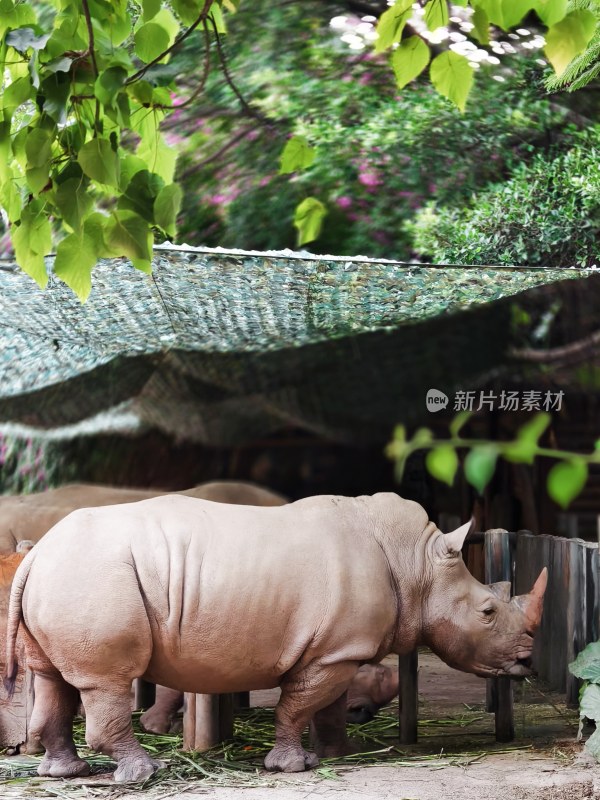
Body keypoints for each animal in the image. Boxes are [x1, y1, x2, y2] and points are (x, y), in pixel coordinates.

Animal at [4, 494, 548, 780]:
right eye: (488, 611)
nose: (528, 661)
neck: (416, 563)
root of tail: (36, 552)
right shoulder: (331, 653)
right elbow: (298, 706)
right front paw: (295, 766)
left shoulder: (338, 648)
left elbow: (325, 706)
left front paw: (338, 752)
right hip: (94, 579)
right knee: (106, 681)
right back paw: (143, 772)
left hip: (66, 576)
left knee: (52, 678)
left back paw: (65, 774)